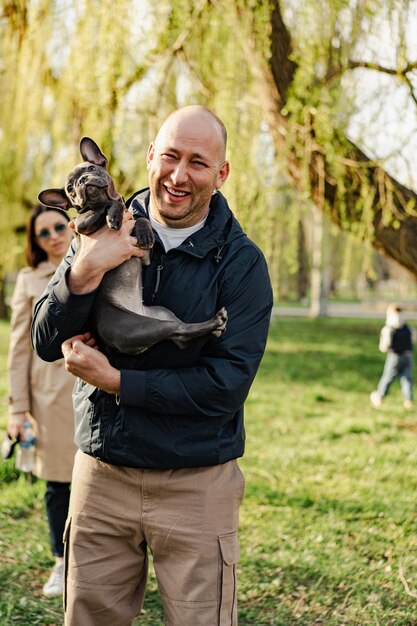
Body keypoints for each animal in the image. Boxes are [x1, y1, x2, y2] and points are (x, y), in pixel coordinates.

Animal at [38, 136, 228, 352]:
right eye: (70, 188)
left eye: (91, 169)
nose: (83, 180)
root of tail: (138, 311)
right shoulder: (81, 223)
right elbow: (108, 204)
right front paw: (114, 215)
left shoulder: (142, 254)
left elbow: (139, 218)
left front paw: (144, 231)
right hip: (136, 326)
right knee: (180, 333)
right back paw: (214, 323)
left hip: (161, 314)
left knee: (179, 332)